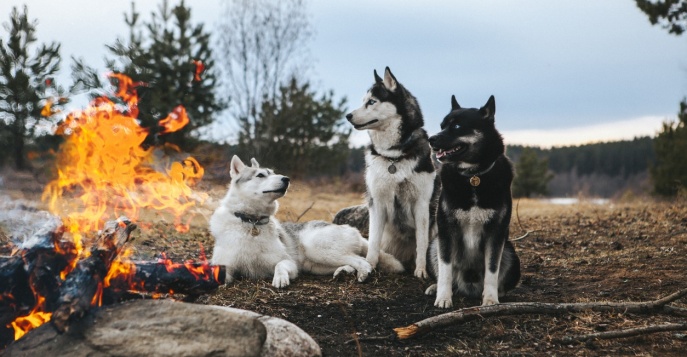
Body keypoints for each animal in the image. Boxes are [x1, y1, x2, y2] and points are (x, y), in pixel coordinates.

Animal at [210, 155, 404, 286]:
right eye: (260, 175)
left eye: (273, 173)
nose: (286, 178)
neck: (251, 222)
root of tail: (352, 229)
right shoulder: (225, 266)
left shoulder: (288, 262)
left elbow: (280, 265)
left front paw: (280, 278)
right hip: (316, 264)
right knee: (354, 261)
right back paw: (343, 272)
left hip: (315, 248)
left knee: (363, 261)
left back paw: (361, 273)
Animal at [428, 94, 520, 306]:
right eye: (442, 125)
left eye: (457, 126)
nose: (431, 139)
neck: (473, 176)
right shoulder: (445, 230)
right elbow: (445, 269)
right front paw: (443, 297)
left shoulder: (496, 233)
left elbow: (492, 270)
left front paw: (491, 299)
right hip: (433, 246)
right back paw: (435, 287)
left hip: (511, 252)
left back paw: (499, 293)